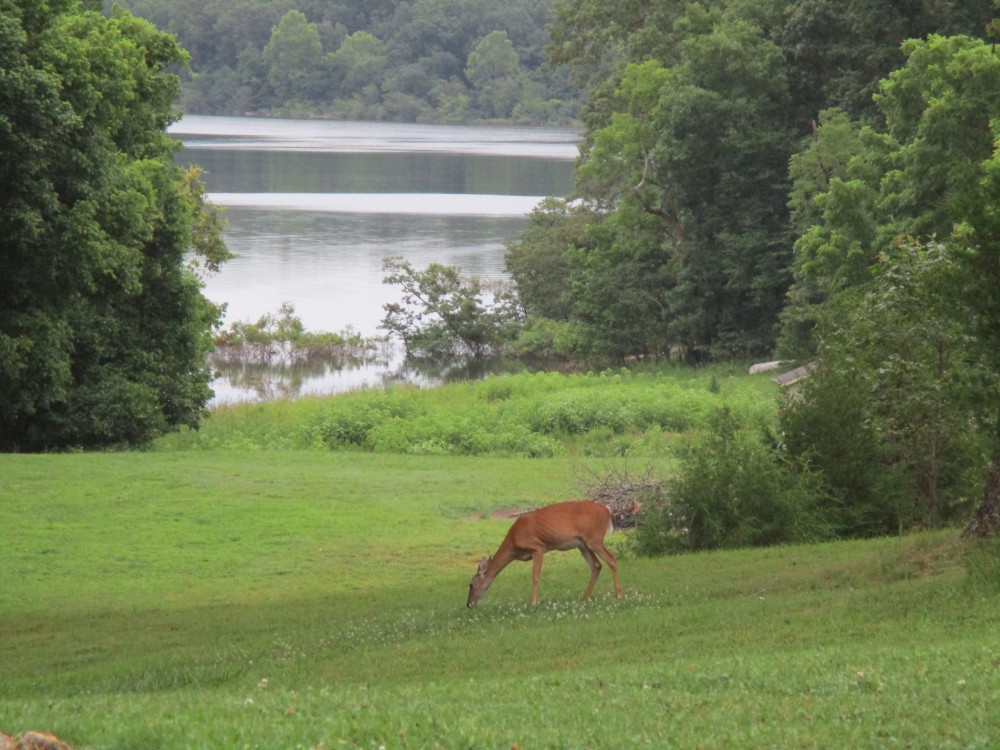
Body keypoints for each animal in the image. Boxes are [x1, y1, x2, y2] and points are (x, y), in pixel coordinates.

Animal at [466, 502, 620, 608]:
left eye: (471, 584)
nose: (468, 604)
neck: (514, 541)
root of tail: (607, 510)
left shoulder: (538, 547)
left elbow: (535, 576)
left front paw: (533, 602)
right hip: (583, 544)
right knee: (596, 565)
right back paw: (585, 598)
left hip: (594, 539)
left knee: (612, 559)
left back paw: (618, 595)